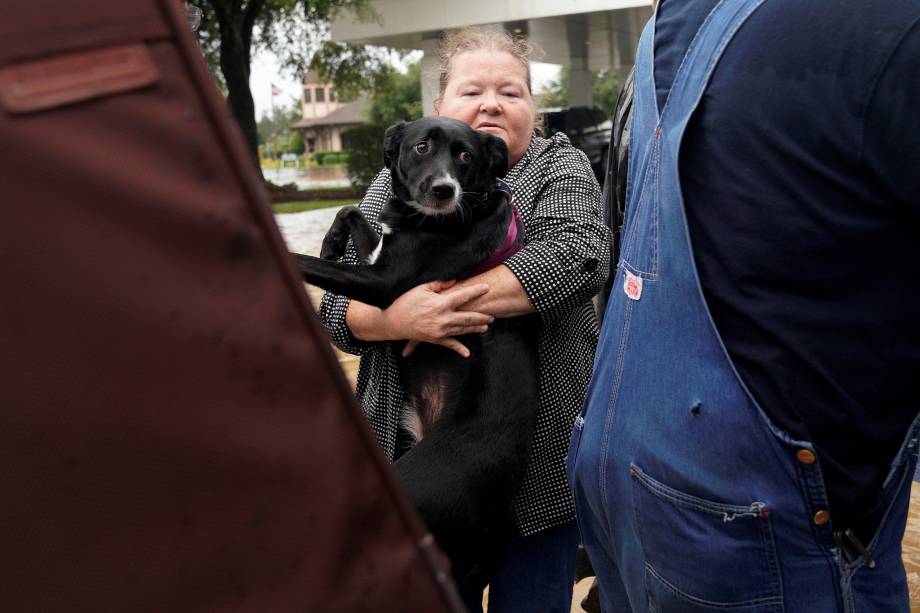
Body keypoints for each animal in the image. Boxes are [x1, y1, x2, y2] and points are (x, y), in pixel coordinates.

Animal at [292, 116, 540, 604]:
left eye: (465, 155)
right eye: (422, 147)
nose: (444, 190)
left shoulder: (385, 283)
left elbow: (308, 263)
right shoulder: (378, 255)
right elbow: (352, 211)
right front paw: (332, 239)